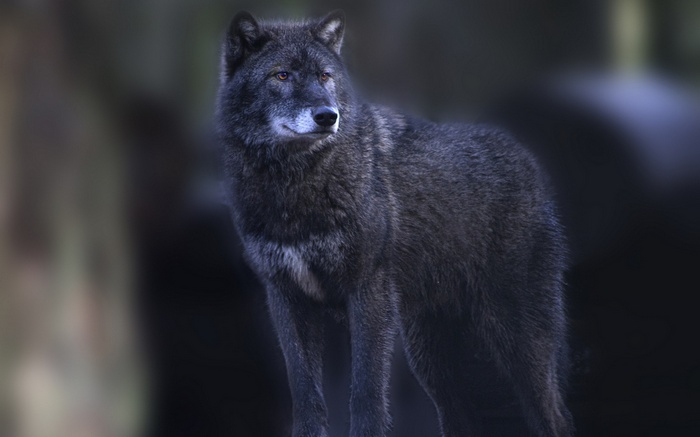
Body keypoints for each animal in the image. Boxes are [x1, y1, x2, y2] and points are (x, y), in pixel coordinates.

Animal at [216, 10, 574, 437]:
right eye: (282, 75)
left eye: (325, 76)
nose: (327, 117)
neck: (294, 186)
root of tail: (527, 157)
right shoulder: (285, 296)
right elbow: (304, 394)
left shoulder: (367, 290)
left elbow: (366, 392)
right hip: (433, 360)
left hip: (517, 342)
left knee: (555, 417)